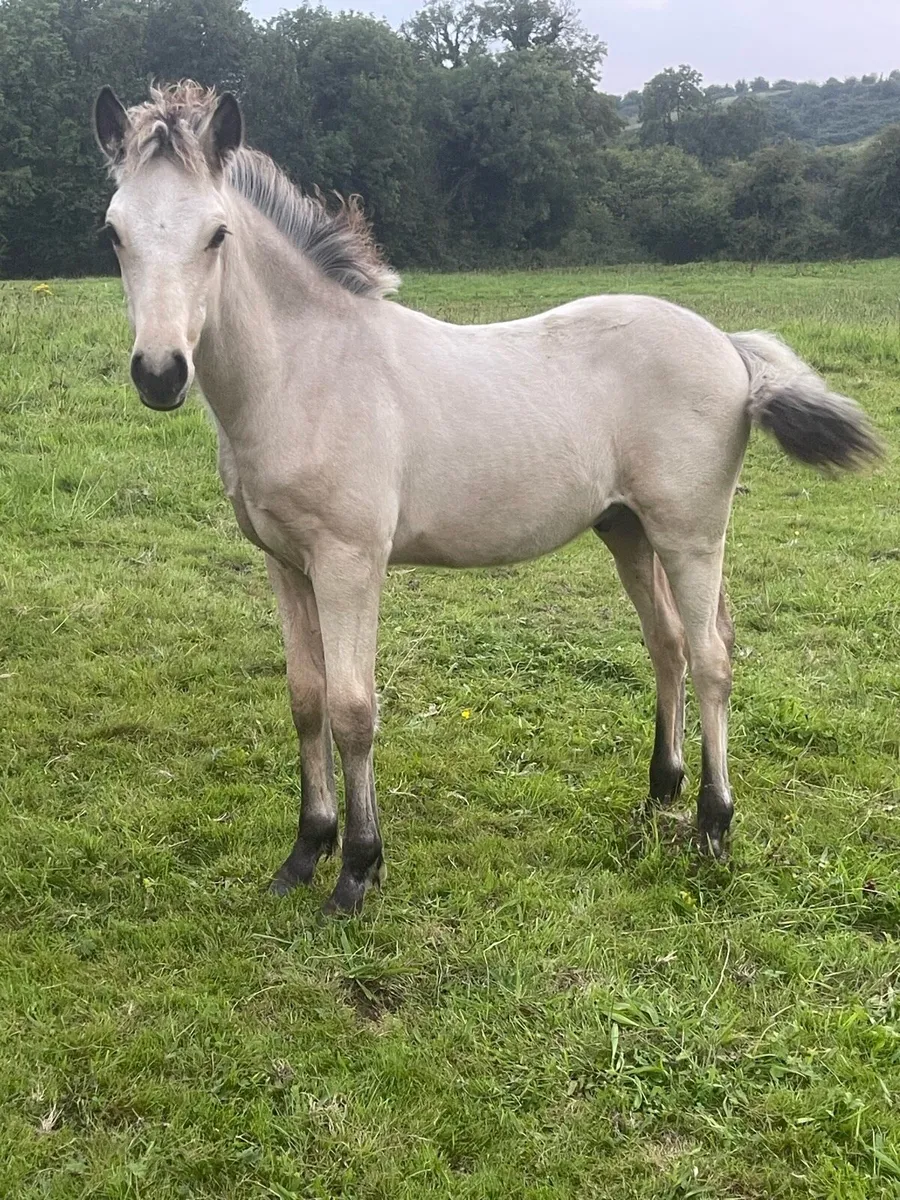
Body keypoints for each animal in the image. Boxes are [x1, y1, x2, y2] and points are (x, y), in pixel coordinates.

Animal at [93, 82, 881, 915]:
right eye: (113, 233)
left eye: (216, 234)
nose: (160, 373)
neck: (307, 373)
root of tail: (729, 346)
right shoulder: (284, 562)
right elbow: (306, 699)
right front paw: (304, 854)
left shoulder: (349, 563)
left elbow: (353, 709)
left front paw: (357, 871)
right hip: (627, 529)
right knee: (666, 643)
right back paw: (658, 794)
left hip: (690, 533)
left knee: (711, 657)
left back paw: (712, 824)